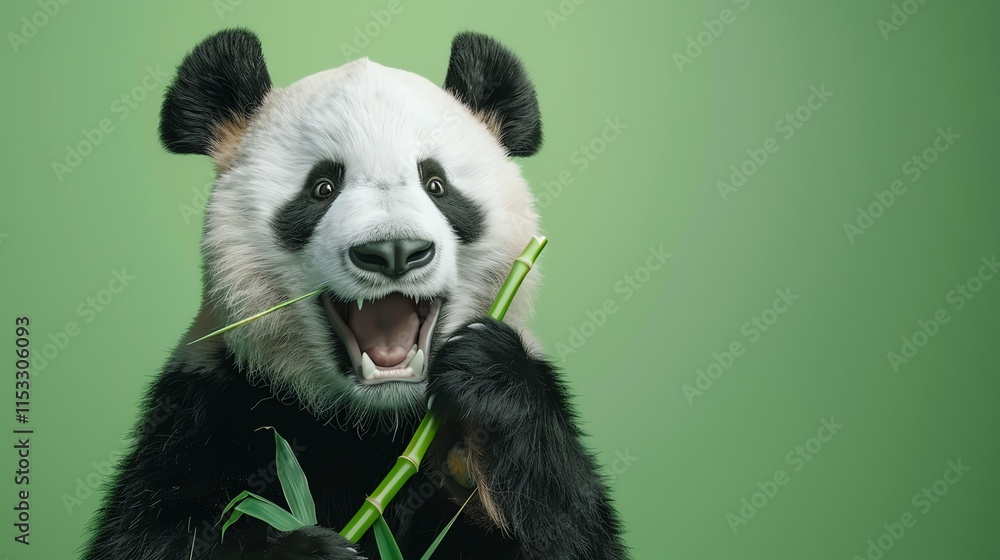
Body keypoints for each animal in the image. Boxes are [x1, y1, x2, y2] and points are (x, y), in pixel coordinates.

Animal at [83, 29, 627, 560]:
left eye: (436, 184)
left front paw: (488, 369)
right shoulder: (205, 405)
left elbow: (570, 530)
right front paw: (310, 548)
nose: (394, 250)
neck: (373, 419)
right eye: (322, 187)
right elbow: (155, 534)